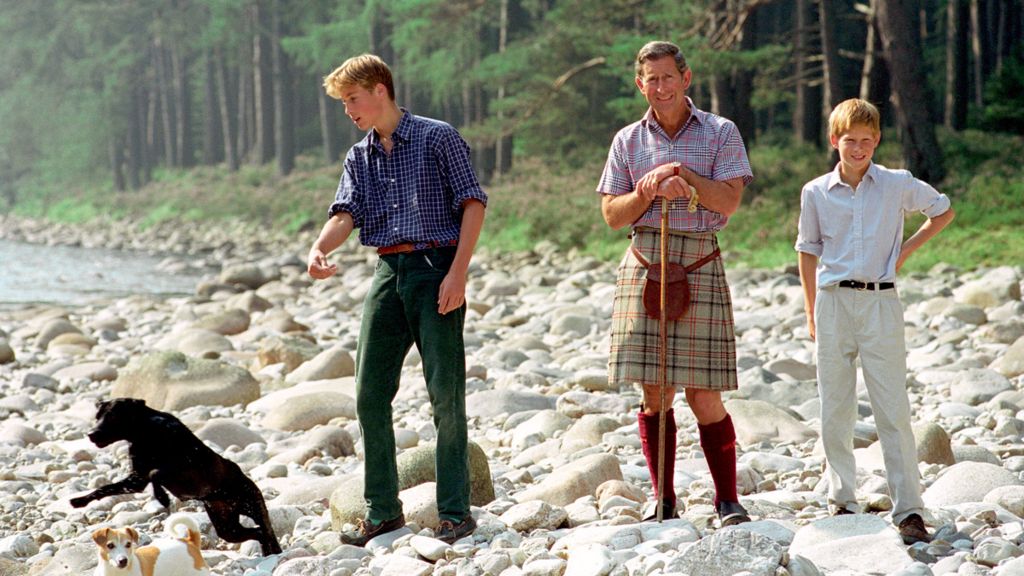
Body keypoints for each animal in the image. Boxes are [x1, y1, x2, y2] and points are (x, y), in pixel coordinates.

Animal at [70, 397, 282, 553]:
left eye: (112, 417)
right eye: (97, 416)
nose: (91, 434)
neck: (145, 431)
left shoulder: (181, 468)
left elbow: (156, 472)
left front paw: (162, 497)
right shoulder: (136, 479)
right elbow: (105, 488)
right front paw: (81, 500)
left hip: (252, 506)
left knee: (265, 530)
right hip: (227, 527)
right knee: (256, 533)